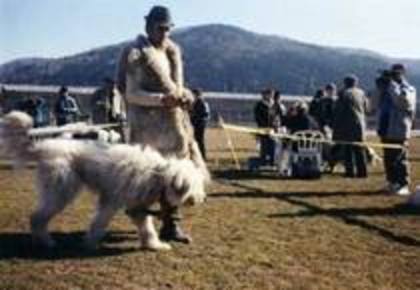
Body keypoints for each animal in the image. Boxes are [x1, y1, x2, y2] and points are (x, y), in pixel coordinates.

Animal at [0, 112, 207, 250]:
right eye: (194, 186)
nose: (201, 199)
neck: (158, 173)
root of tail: (43, 147)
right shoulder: (112, 200)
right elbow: (100, 221)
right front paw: (90, 242)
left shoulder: (137, 206)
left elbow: (146, 227)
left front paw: (154, 245)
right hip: (61, 190)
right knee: (37, 217)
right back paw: (46, 241)